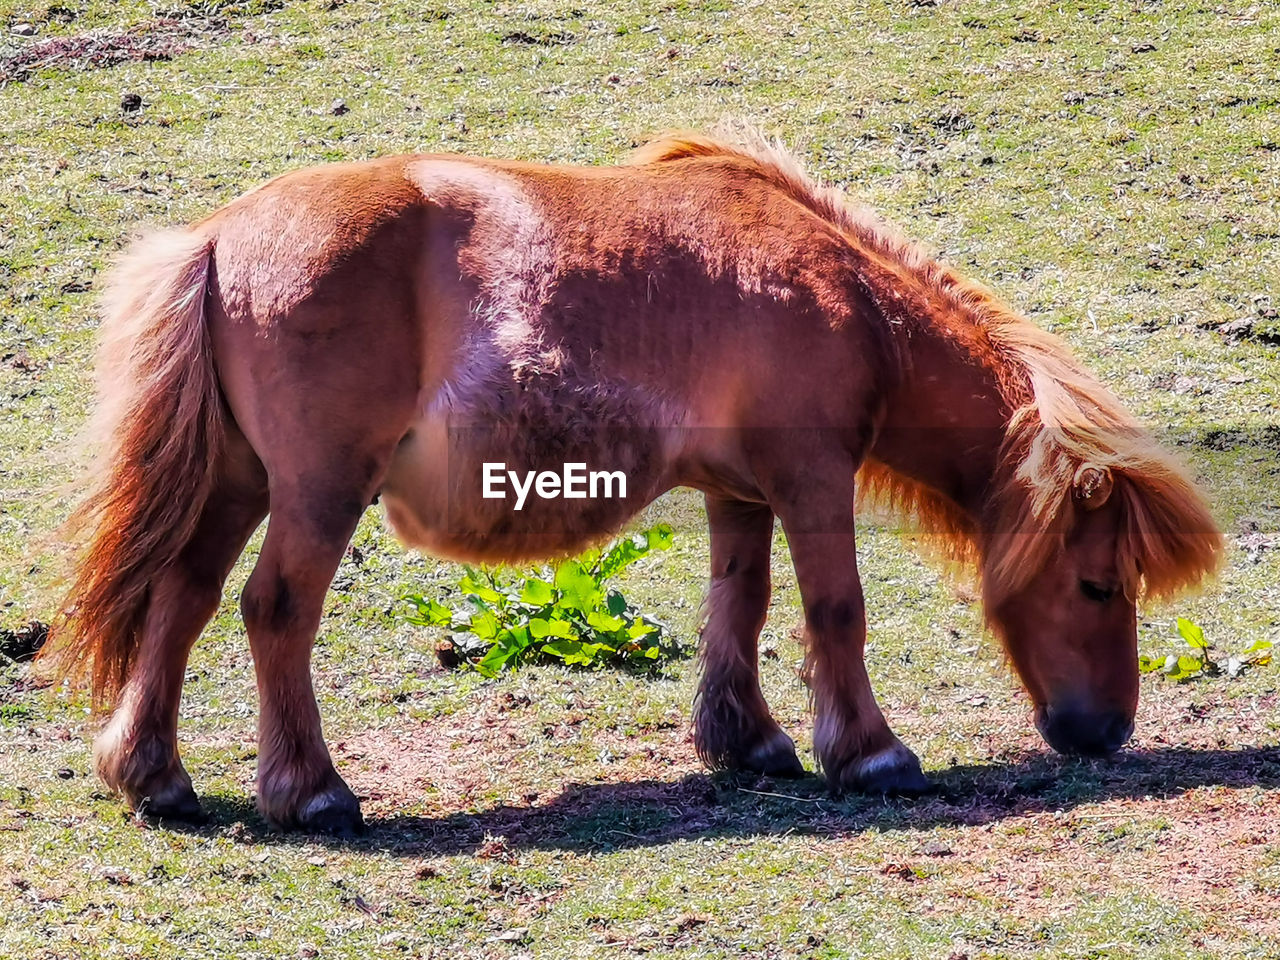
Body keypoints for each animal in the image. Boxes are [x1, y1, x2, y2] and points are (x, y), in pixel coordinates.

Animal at [43, 128, 1223, 835]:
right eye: (1096, 585)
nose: (1104, 732)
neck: (844, 297)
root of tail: (215, 239)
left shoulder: (740, 494)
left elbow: (741, 606)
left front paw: (750, 742)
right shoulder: (811, 481)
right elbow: (834, 609)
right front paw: (870, 755)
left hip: (237, 485)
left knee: (183, 600)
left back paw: (154, 776)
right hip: (316, 492)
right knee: (273, 610)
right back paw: (312, 792)